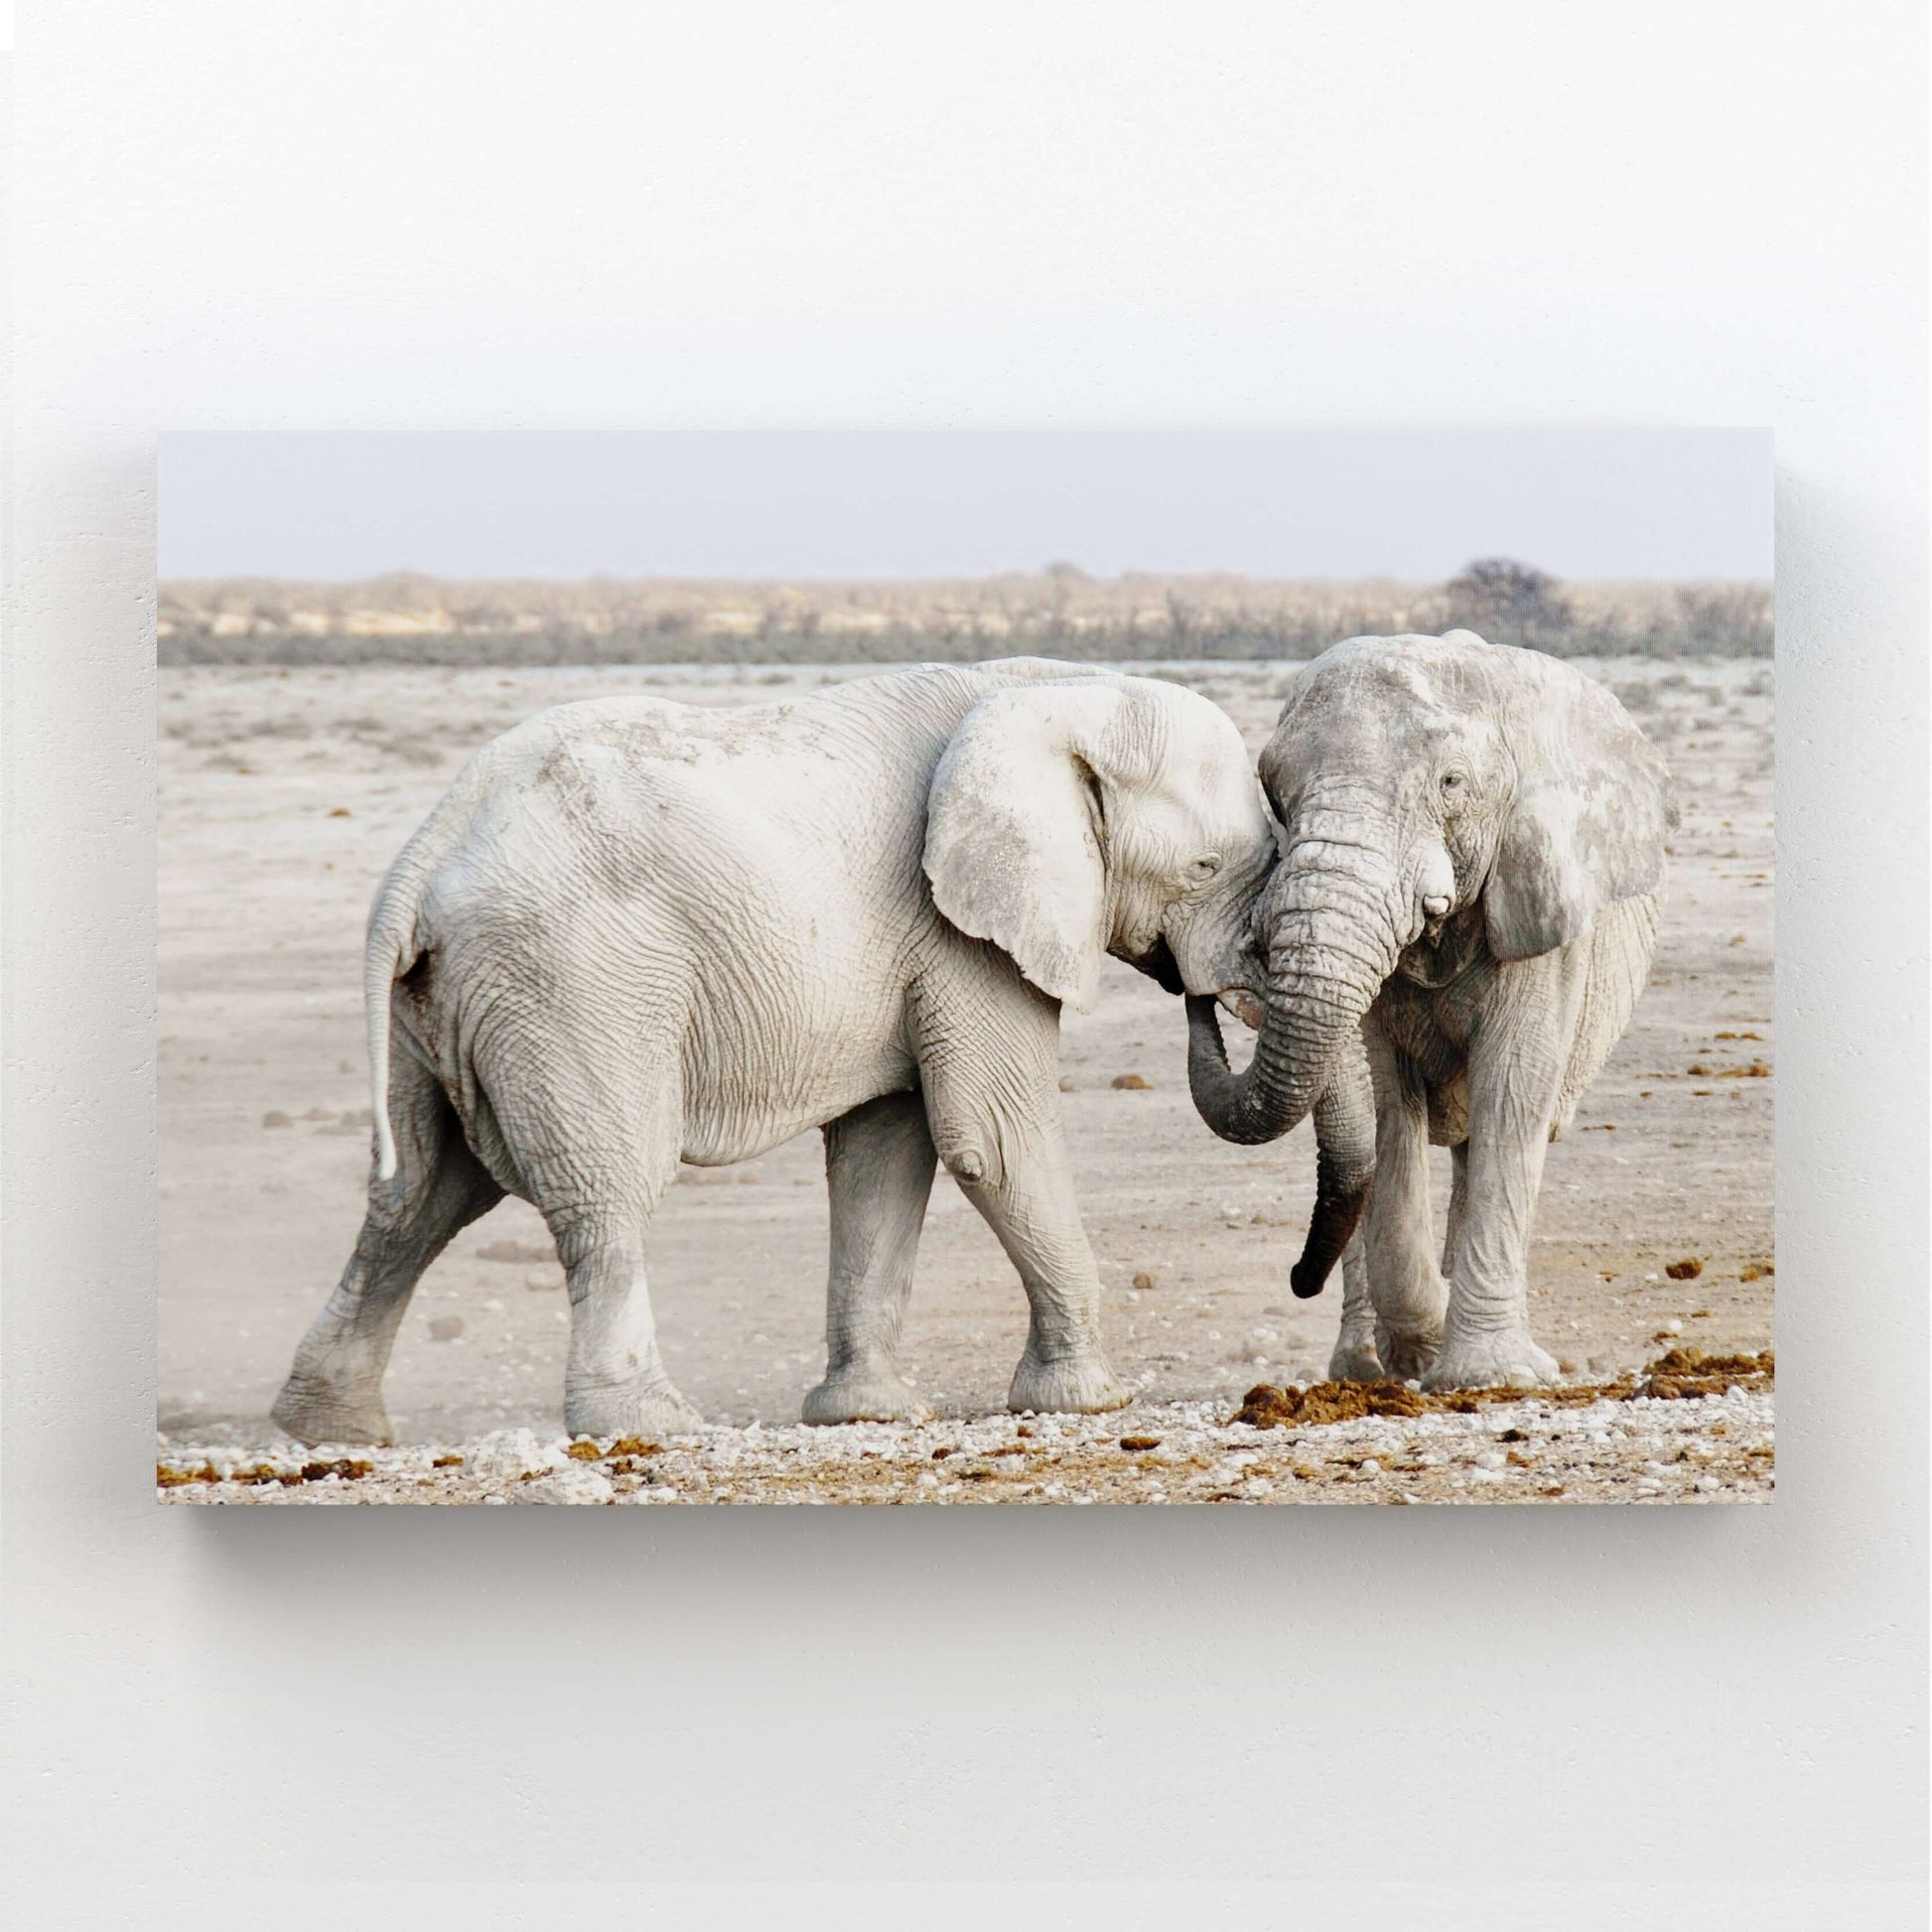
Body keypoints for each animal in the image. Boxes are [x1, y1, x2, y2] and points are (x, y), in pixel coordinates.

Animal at [270, 657, 1277, 1446]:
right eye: (1204, 870)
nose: (1200, 995)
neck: (1059, 693)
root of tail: (424, 854)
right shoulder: (961, 932)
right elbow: (990, 1139)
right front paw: (1091, 1401)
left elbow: (885, 1153)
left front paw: (867, 1415)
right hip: (570, 983)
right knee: (604, 1190)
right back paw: (650, 1426)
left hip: (444, 1003)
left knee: (420, 1195)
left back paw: (329, 1429)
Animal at [1185, 631, 1675, 1390]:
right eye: (1274, 792)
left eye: (1451, 784)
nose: (1202, 993)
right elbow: (1386, 1104)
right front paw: (1425, 1348)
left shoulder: (1539, 902)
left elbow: (1514, 1088)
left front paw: (1489, 1377)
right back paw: (1364, 1370)